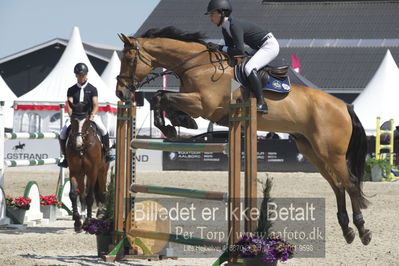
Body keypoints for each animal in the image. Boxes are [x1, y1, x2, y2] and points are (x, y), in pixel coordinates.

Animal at [66, 101, 108, 232]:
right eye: (72, 120)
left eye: (87, 121)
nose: (78, 144)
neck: (82, 149)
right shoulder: (74, 171)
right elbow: (73, 194)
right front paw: (77, 222)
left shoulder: (92, 171)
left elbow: (90, 196)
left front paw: (89, 220)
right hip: (81, 174)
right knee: (82, 194)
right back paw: (83, 216)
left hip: (102, 171)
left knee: (101, 192)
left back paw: (99, 213)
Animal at [115, 27, 372, 245]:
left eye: (128, 59)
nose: (120, 92)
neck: (197, 65)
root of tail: (344, 106)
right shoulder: (195, 102)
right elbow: (163, 97)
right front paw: (177, 124)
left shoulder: (204, 105)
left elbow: (162, 96)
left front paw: (173, 125)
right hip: (311, 150)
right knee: (337, 184)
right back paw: (347, 230)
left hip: (330, 152)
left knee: (349, 182)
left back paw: (362, 230)